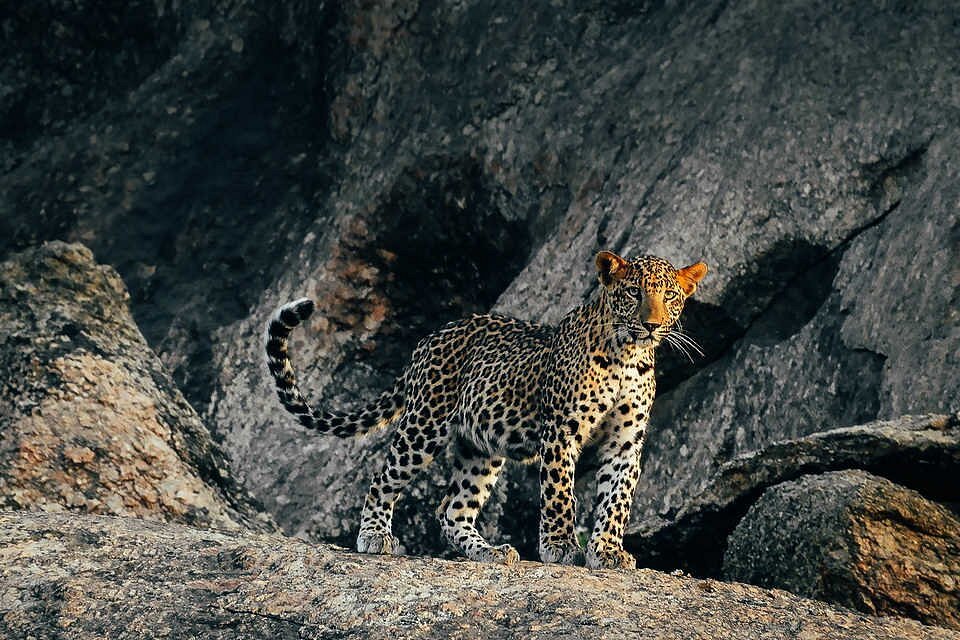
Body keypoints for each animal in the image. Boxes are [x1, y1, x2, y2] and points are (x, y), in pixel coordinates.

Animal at [265, 250, 707, 569]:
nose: (651, 325)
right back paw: (374, 535)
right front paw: (561, 546)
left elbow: (617, 500)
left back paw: (490, 552)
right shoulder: (561, 431)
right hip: (425, 425)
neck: (628, 355)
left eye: (669, 296)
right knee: (384, 478)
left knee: (451, 509)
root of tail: (429, 339)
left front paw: (609, 551)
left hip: (480, 448)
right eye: (633, 293)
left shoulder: (625, 442)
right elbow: (560, 494)